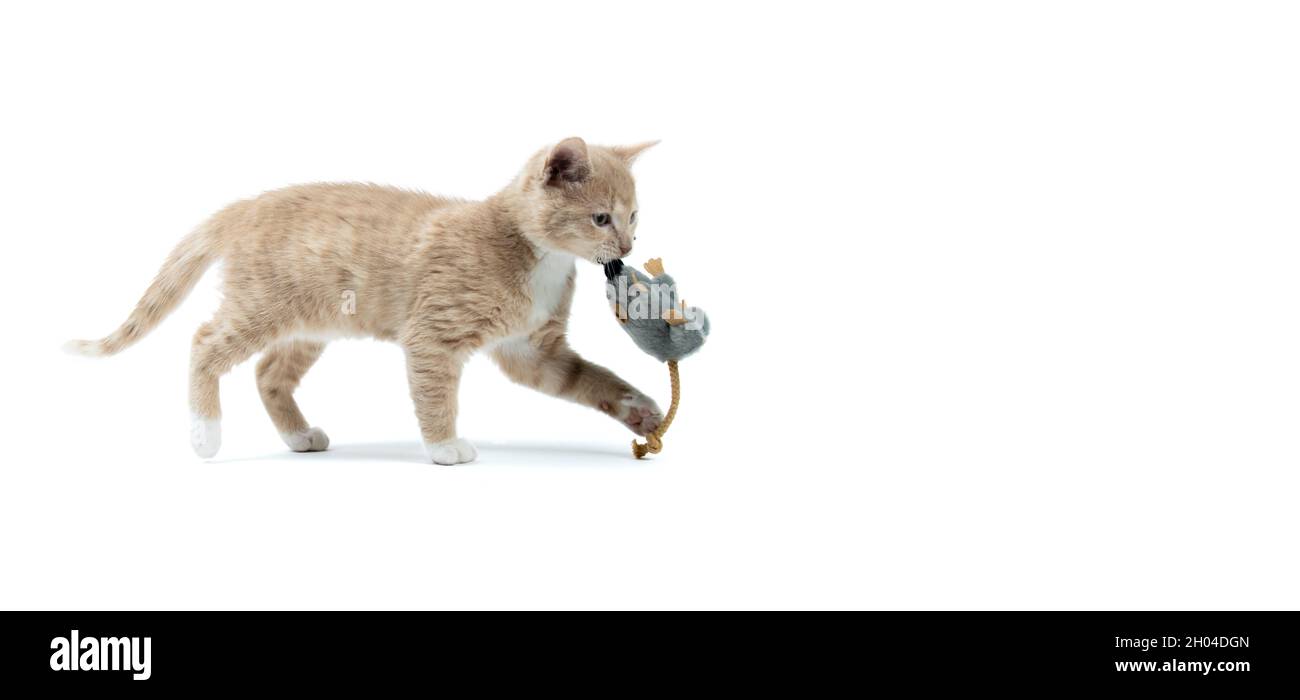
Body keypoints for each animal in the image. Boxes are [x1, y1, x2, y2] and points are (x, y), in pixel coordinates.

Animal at [65, 138, 665, 460]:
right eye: (601, 218)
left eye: (635, 216)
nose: (628, 246)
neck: (537, 255)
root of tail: (246, 206)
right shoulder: (432, 336)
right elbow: (435, 395)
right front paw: (444, 447)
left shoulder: (531, 350)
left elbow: (591, 379)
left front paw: (640, 409)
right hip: (260, 308)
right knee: (203, 342)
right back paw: (205, 432)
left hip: (311, 324)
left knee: (268, 373)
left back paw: (298, 433)